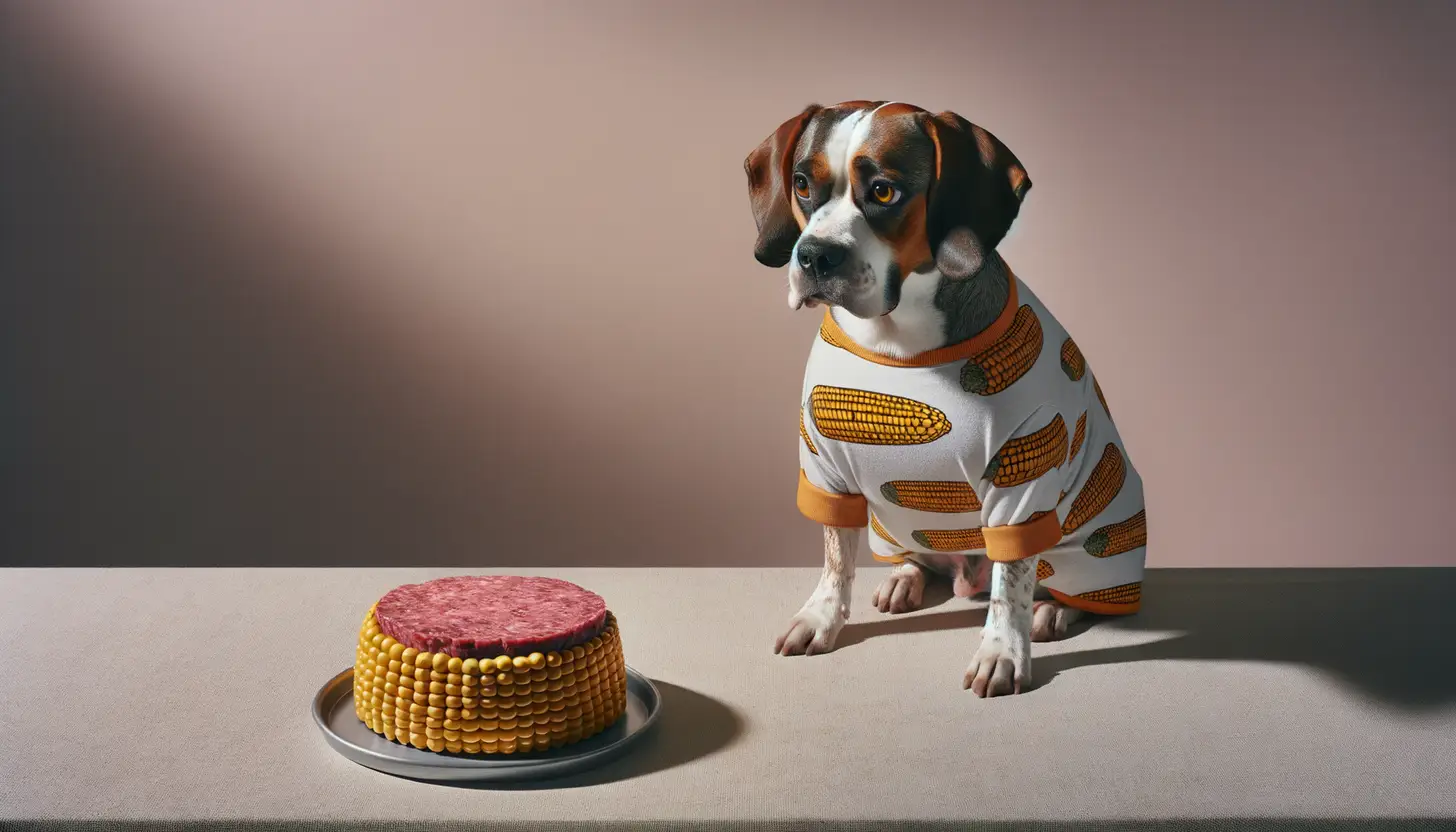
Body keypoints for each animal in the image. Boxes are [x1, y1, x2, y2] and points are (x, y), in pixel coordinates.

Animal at [745, 102, 1141, 696]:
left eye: (883, 191)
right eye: (801, 185)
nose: (814, 256)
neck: (899, 344)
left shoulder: (1022, 481)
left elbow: (1010, 584)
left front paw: (1002, 651)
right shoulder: (825, 468)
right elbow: (836, 558)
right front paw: (821, 616)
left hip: (1093, 543)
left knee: (1066, 586)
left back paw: (1054, 610)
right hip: (892, 526)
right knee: (915, 556)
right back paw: (906, 577)